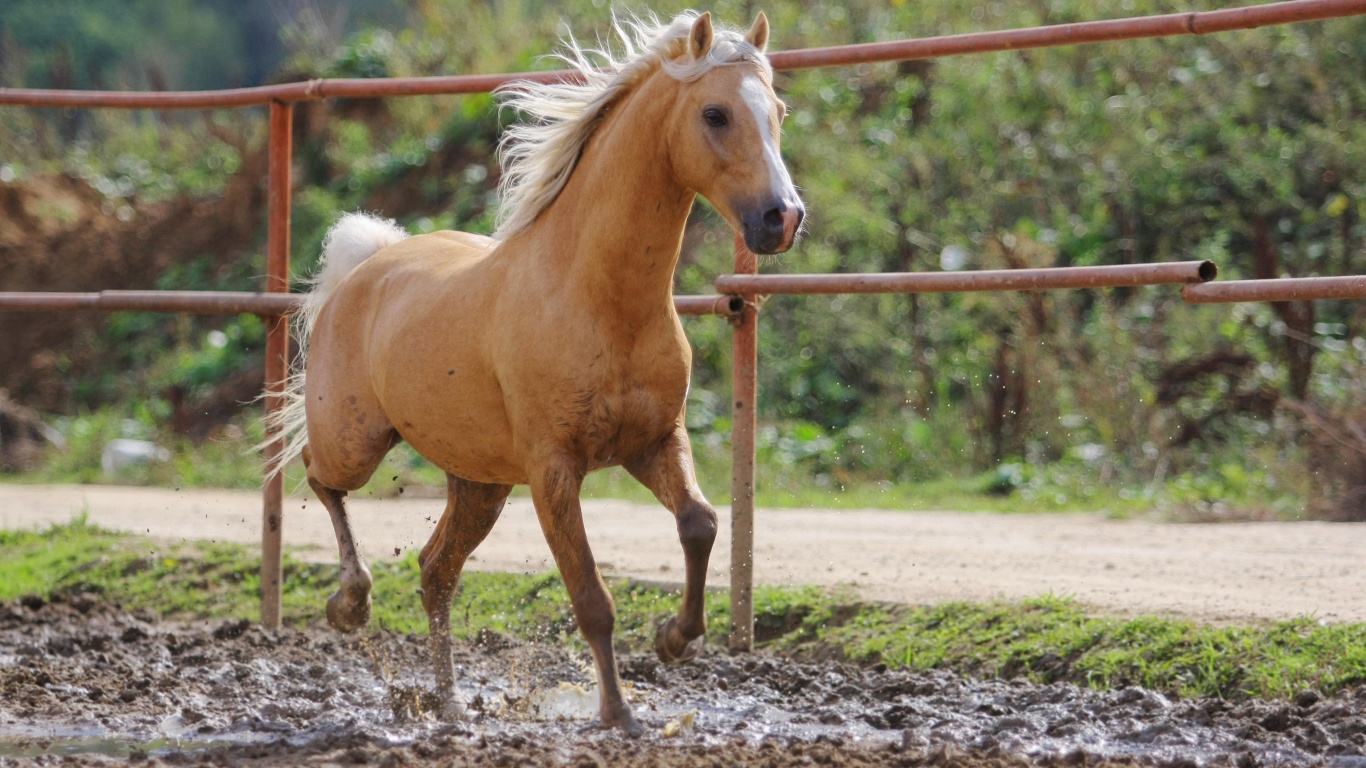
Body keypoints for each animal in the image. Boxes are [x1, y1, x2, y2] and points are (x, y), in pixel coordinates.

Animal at [262, 8, 797, 732]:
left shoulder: (655, 441)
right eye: (715, 113)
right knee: (321, 478)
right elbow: (592, 597)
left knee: (435, 570)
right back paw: (351, 603)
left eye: (778, 111)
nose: (782, 218)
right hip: (357, 442)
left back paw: (450, 704)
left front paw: (675, 639)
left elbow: (701, 522)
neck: (599, 298)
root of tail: (369, 263)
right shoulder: (553, 471)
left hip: (480, 483)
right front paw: (618, 715)